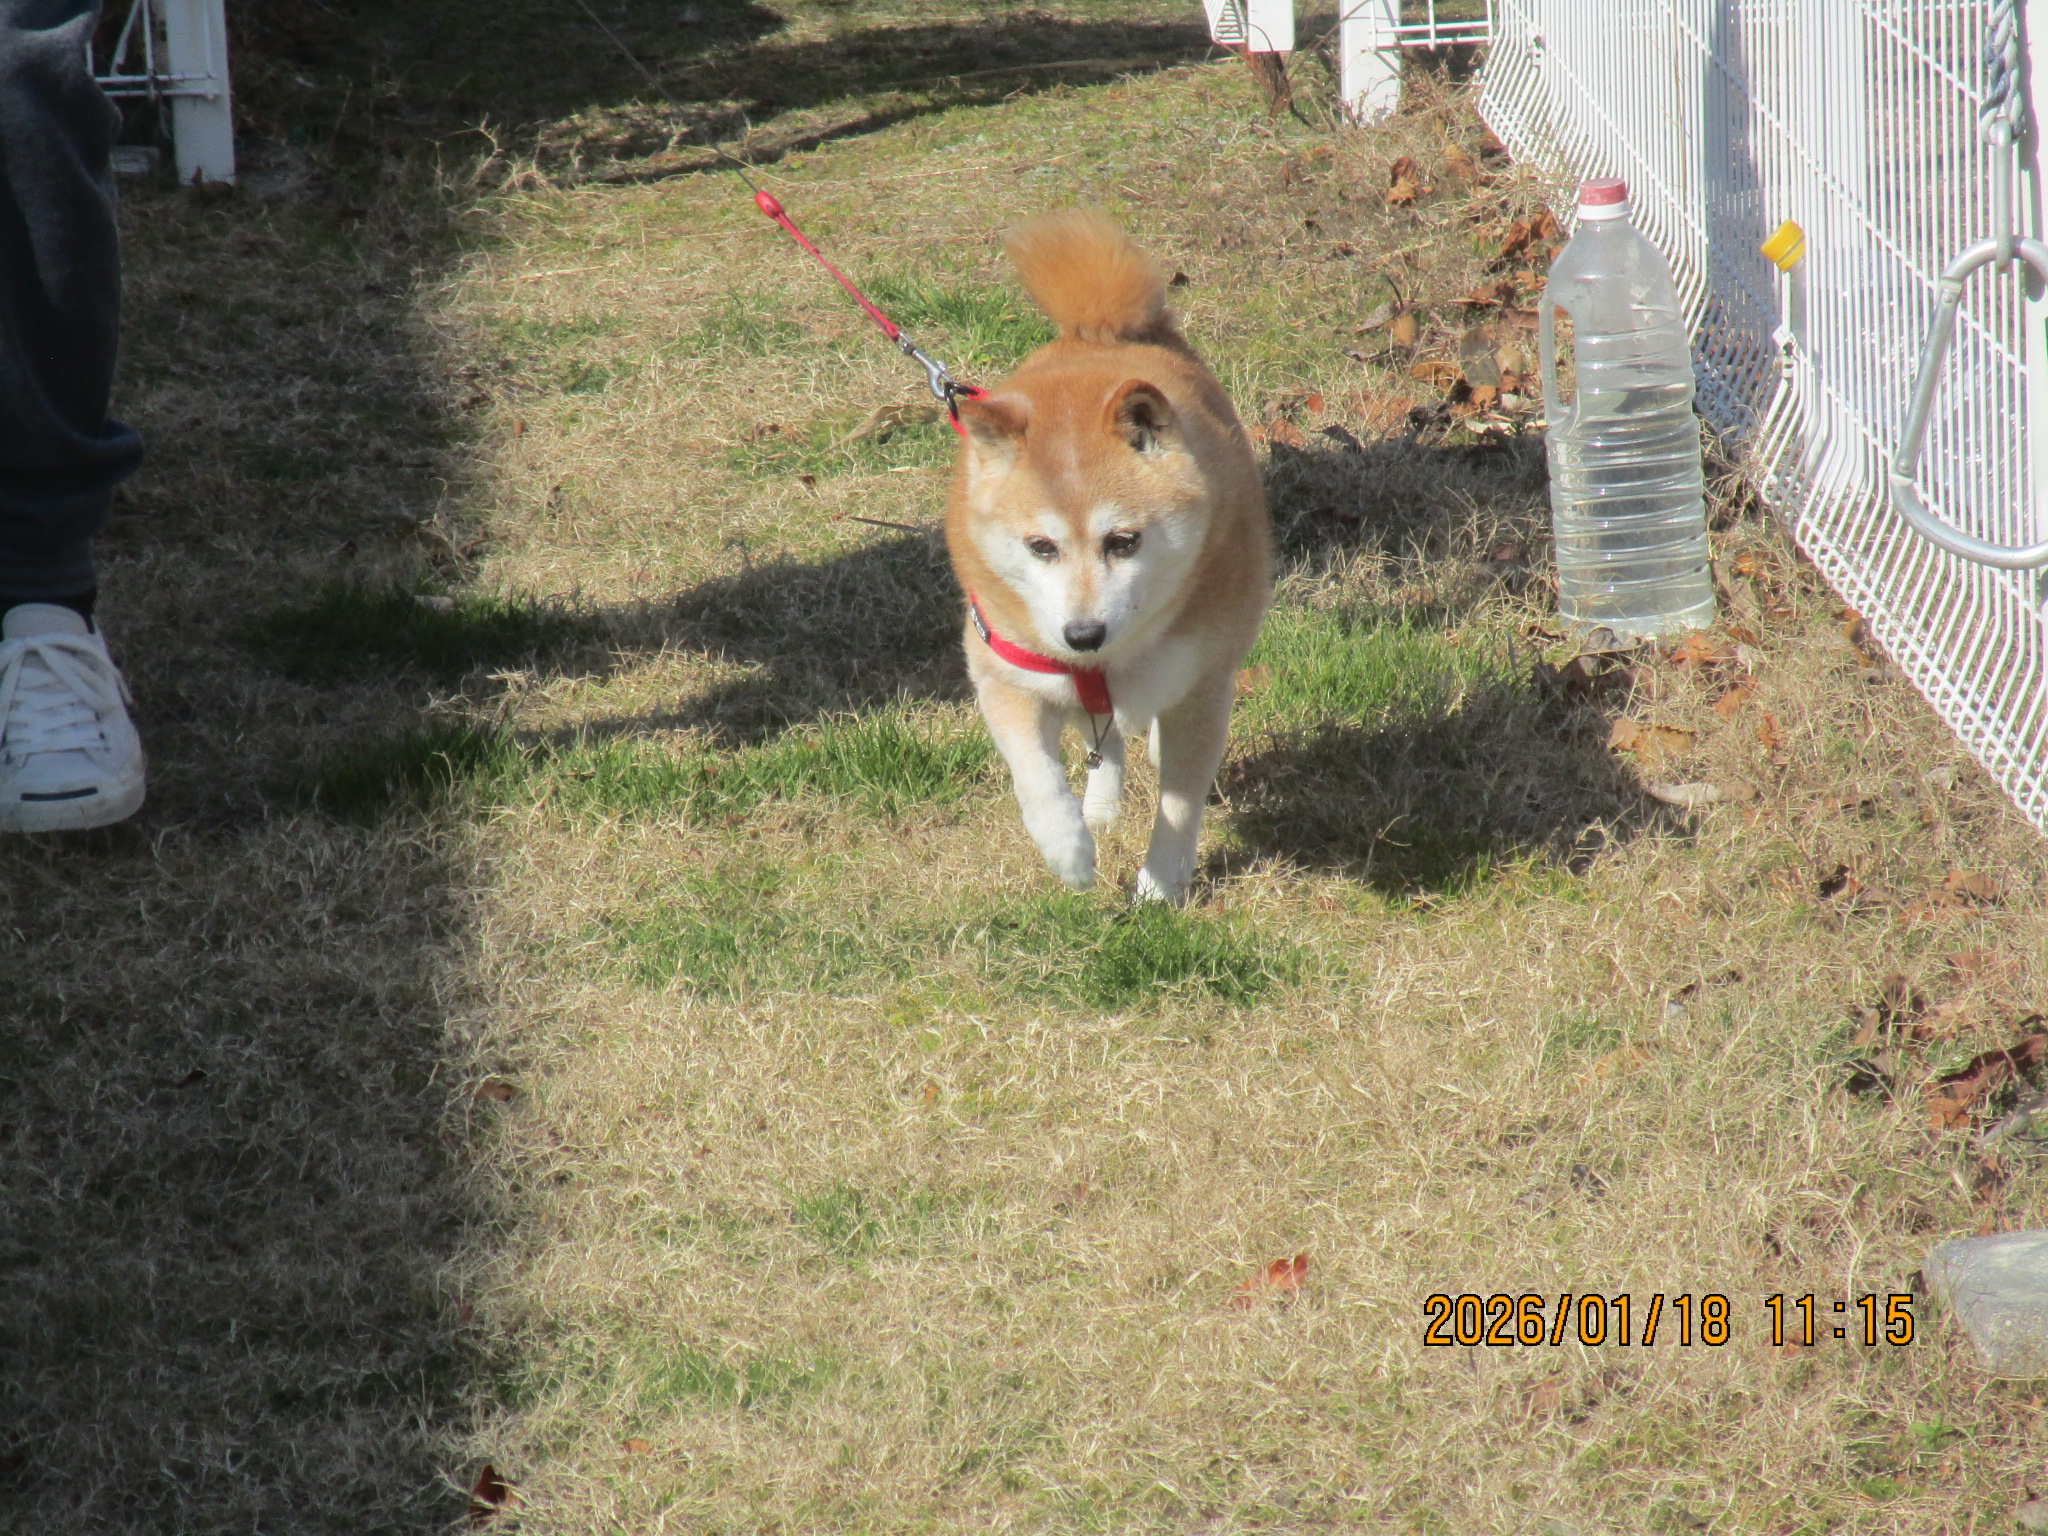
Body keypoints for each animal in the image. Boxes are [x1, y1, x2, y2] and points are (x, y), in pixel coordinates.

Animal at [944, 209, 1272, 904]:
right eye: (1040, 547)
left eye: (1123, 541)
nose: (1083, 634)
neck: (1104, 663)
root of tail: (1100, 330)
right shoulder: (1006, 675)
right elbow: (1035, 775)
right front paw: (1068, 851)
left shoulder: (1202, 686)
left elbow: (1179, 801)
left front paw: (1159, 887)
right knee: (1101, 734)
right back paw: (1096, 803)